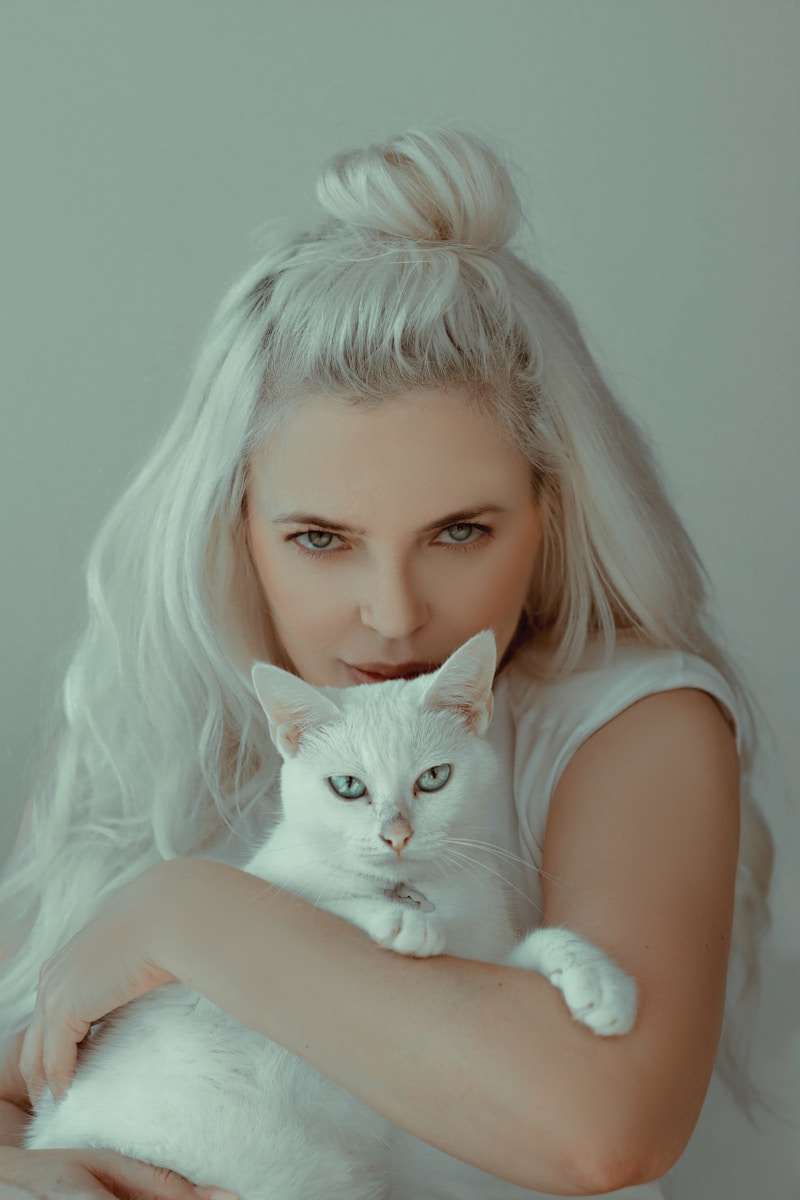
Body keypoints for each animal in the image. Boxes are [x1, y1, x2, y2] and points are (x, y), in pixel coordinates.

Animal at [25, 628, 638, 1200]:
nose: (396, 834)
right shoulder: (264, 890)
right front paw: (400, 921)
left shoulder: (487, 962)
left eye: (433, 778)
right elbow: (312, 899)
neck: (417, 887)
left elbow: (544, 942)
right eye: (347, 786)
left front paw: (599, 982)